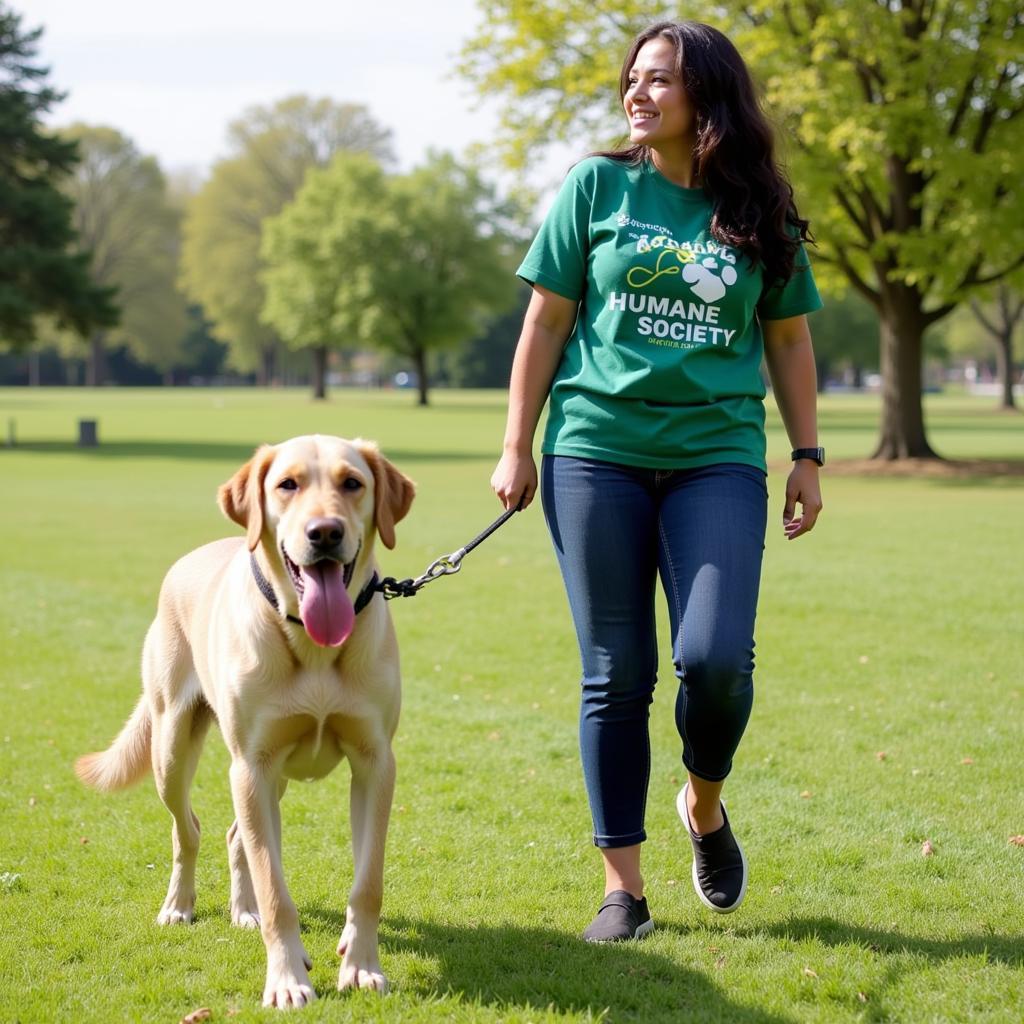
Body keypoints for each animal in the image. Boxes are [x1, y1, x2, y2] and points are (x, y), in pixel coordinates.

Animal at [73, 432, 415, 1007]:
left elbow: (367, 882)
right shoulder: (251, 765)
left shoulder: (374, 763)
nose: (325, 532)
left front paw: (362, 965)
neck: (312, 644)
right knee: (187, 829)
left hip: (270, 777)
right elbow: (277, 889)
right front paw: (288, 980)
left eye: (352, 482)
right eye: (287, 484)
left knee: (238, 834)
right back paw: (181, 904)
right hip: (175, 746)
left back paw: (246, 910)